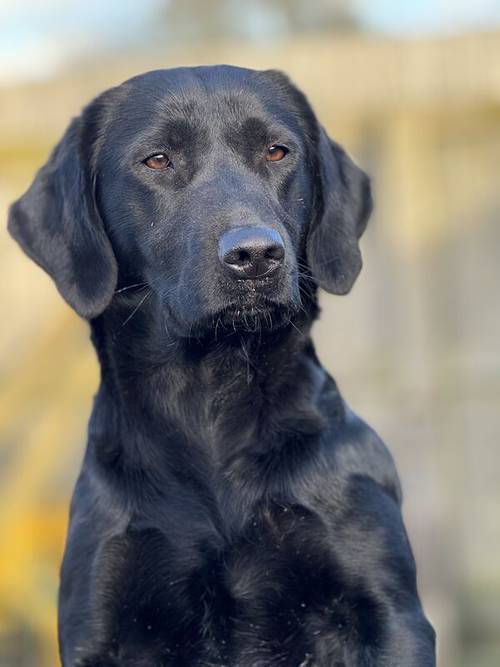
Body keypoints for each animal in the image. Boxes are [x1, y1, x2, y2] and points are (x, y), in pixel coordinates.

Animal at [9, 65, 436, 664]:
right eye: (157, 159)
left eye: (277, 152)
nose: (256, 254)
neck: (213, 395)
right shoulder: (100, 624)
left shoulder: (387, 611)